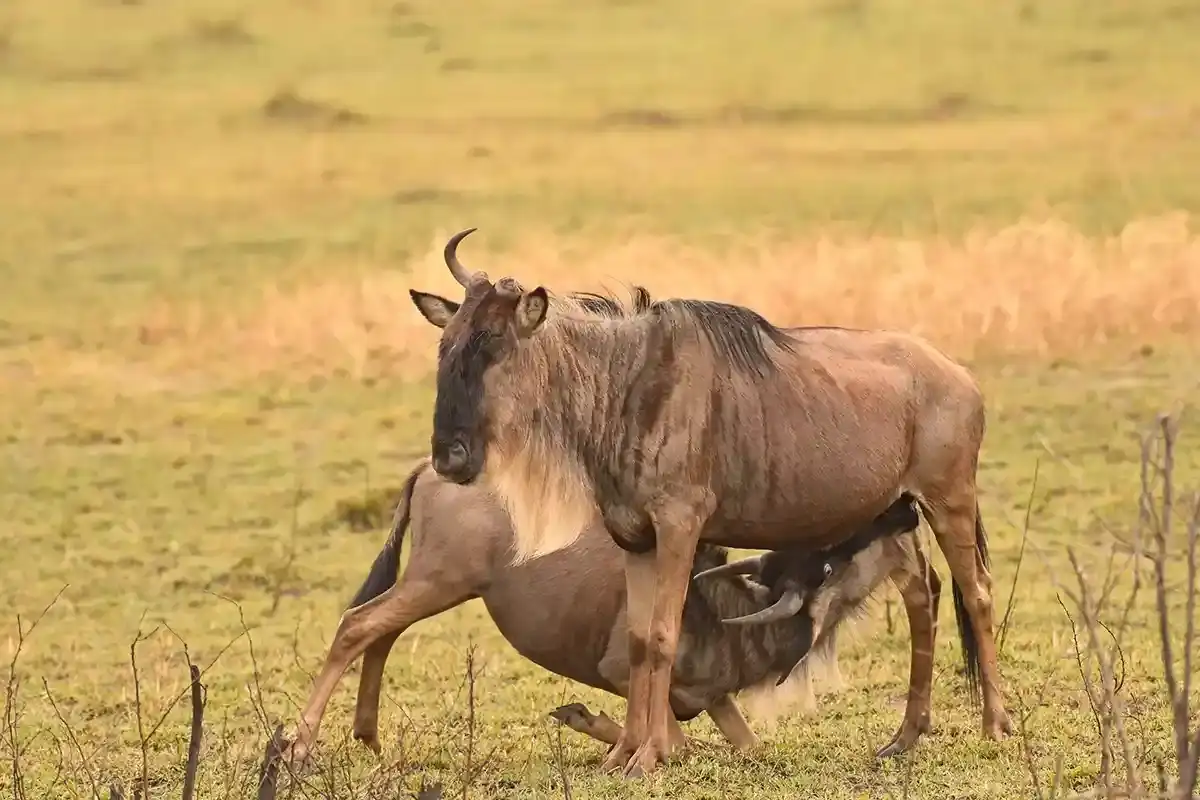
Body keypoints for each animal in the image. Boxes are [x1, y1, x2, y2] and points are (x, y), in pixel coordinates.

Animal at [408, 228, 1011, 777]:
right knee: (922, 597)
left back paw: (995, 727)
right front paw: (625, 755)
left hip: (948, 500)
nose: (449, 457)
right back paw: (905, 737)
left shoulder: (680, 527)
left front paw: (650, 755)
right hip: (894, 514)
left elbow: (662, 636)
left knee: (977, 592)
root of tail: (959, 376)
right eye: (446, 345)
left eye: (494, 343)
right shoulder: (634, 537)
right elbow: (637, 641)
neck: (622, 387)